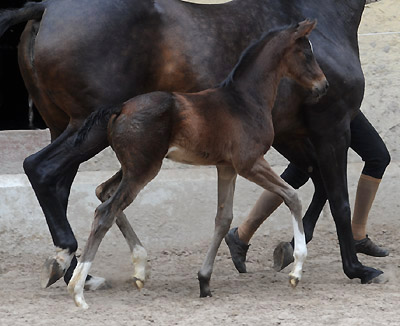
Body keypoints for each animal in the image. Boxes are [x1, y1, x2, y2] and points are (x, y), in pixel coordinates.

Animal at [67, 21, 326, 308]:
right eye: (307, 53)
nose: (323, 86)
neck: (245, 100)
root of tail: (120, 108)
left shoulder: (227, 167)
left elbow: (223, 218)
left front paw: (204, 281)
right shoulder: (249, 163)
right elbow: (292, 196)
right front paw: (296, 271)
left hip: (132, 167)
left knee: (104, 192)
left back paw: (140, 267)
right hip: (143, 170)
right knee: (105, 211)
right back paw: (78, 291)